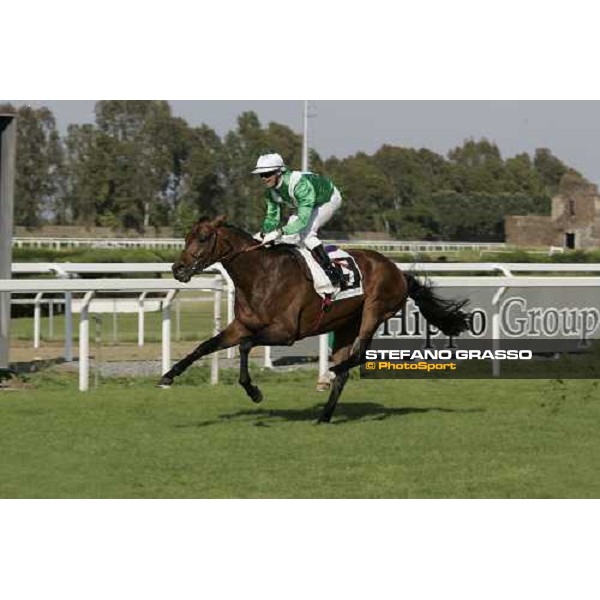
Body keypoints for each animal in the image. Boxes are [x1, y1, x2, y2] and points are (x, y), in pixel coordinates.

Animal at [162, 216, 472, 422]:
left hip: (375, 310)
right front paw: (168, 375)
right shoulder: (241, 326)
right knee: (346, 368)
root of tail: (399, 271)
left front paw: (254, 391)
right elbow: (206, 346)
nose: (178, 269)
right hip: (346, 324)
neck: (261, 275)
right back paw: (324, 413)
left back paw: (329, 373)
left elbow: (246, 346)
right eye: (186, 238)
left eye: (203, 238)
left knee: (358, 355)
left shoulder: (286, 333)